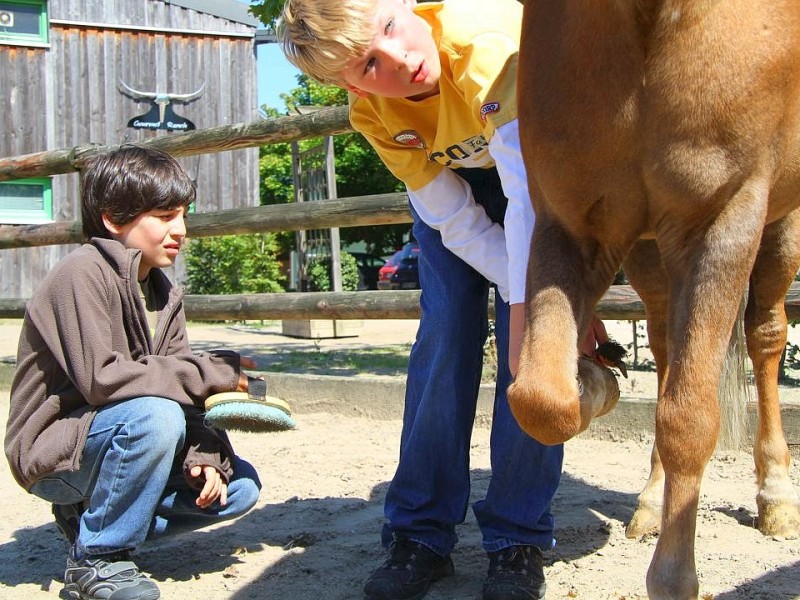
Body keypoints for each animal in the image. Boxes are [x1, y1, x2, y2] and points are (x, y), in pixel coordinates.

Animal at [510, 1, 800, 600]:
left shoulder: (723, 221)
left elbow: (689, 421)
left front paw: (674, 577)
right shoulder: (570, 227)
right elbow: (540, 400)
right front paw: (593, 382)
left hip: (781, 225)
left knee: (765, 336)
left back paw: (778, 497)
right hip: (649, 252)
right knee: (667, 351)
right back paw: (649, 504)